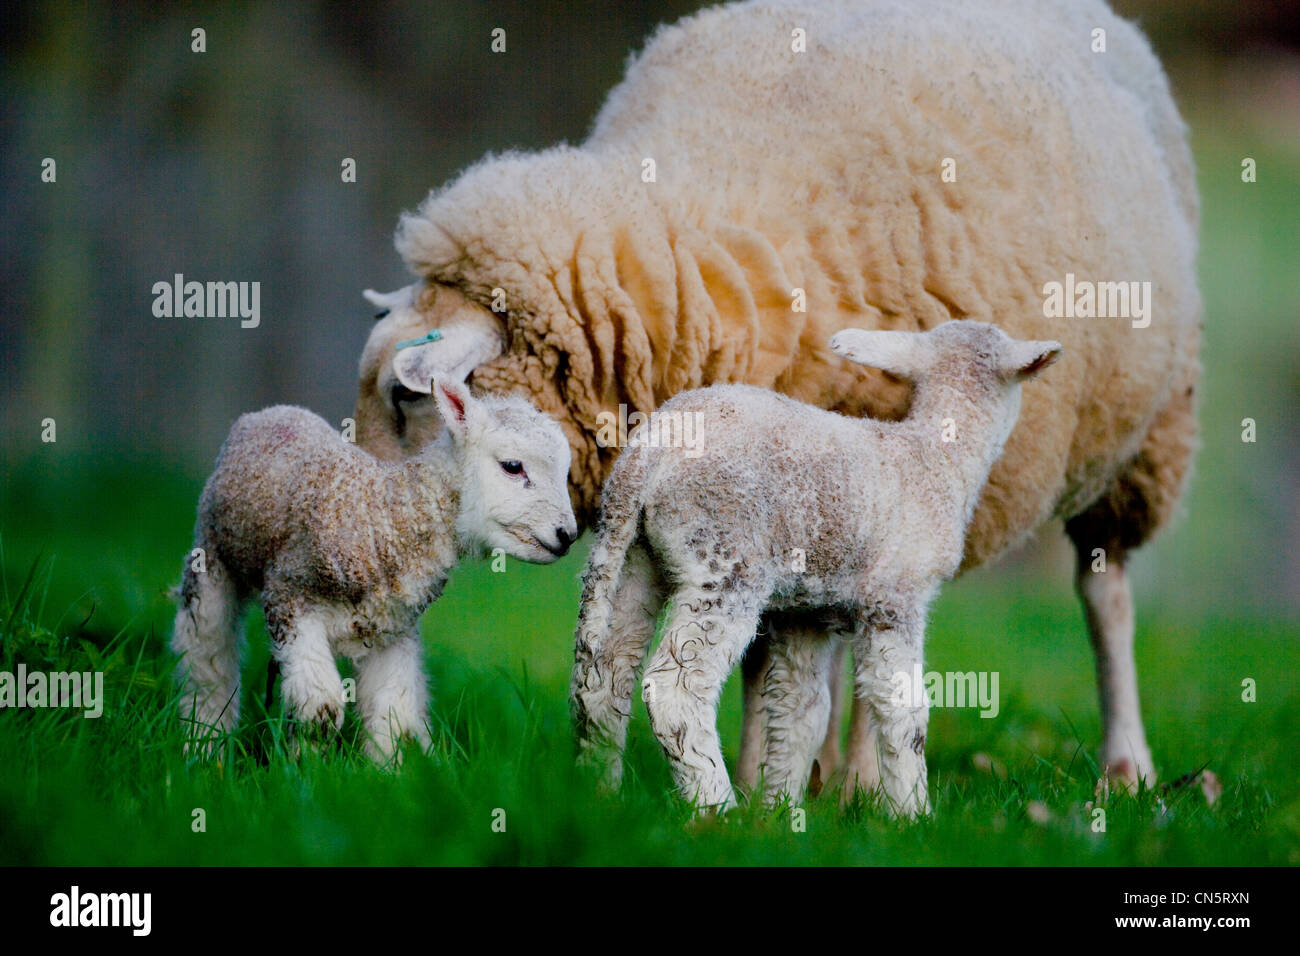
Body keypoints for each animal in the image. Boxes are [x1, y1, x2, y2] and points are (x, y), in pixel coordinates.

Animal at [171, 379, 577, 761]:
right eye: (512, 466)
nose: (568, 535)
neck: (380, 519)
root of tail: (269, 412)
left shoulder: (391, 631)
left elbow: (392, 717)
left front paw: (385, 776)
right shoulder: (291, 597)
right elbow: (320, 711)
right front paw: (306, 770)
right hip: (211, 553)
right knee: (206, 659)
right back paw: (202, 745)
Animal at [571, 321, 1063, 815]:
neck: (934, 459)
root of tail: (649, 452)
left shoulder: (805, 614)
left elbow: (802, 713)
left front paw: (782, 812)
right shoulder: (893, 598)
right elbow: (904, 711)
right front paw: (912, 812)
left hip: (632, 558)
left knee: (603, 679)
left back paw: (599, 792)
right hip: (725, 561)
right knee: (676, 690)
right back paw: (716, 808)